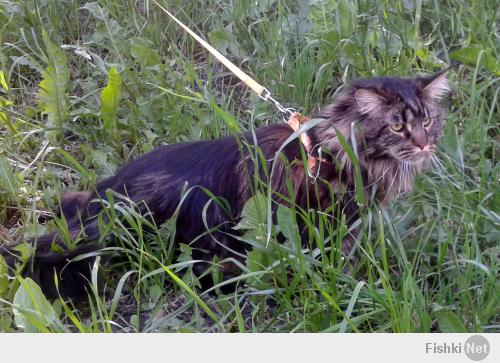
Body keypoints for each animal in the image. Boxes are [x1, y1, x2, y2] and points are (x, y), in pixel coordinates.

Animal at [0, 69, 452, 300]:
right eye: (398, 126)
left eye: (427, 119)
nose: (425, 143)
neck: (333, 151)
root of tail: (104, 200)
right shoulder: (325, 224)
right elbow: (333, 261)